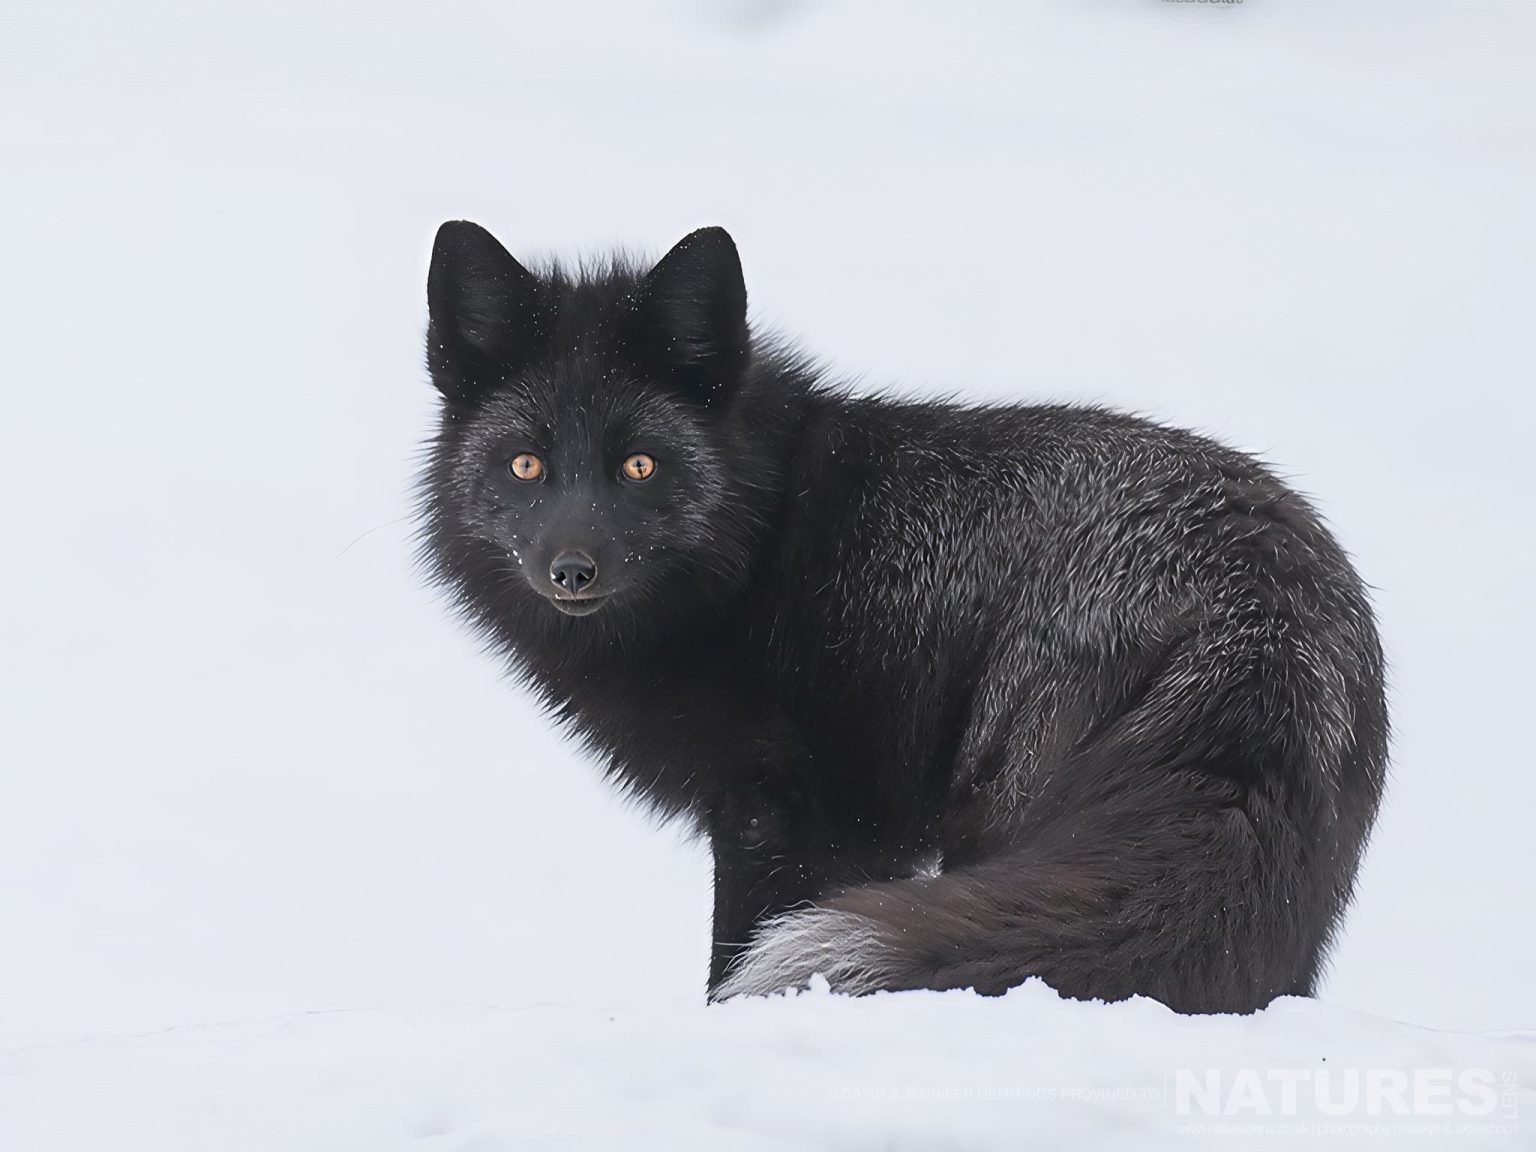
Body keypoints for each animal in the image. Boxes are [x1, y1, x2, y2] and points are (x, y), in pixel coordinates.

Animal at [416, 221, 1388, 1013]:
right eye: (528, 465)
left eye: (640, 466)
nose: (571, 568)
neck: (762, 541)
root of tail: (1260, 615)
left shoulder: (788, 815)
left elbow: (735, 961)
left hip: (1006, 801)